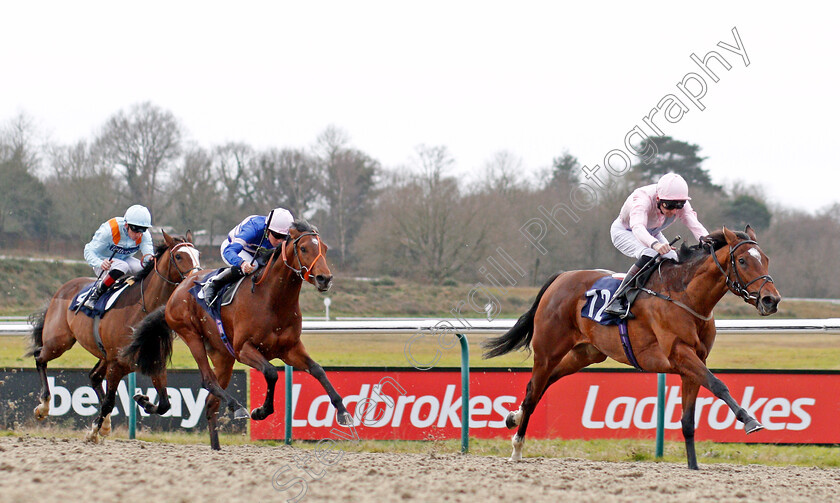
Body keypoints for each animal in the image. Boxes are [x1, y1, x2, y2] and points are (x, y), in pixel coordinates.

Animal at [26, 230, 200, 442]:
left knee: (94, 377)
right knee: (40, 357)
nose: (195, 278)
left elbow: (165, 404)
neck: (142, 310)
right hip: (59, 342)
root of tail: (63, 288)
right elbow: (109, 401)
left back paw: (107, 423)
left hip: (102, 355)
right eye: (179, 256)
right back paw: (43, 406)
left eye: (197, 254)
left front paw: (142, 399)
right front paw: (93, 431)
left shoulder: (153, 361)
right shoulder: (116, 364)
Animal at [123, 220, 352, 448]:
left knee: (210, 403)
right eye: (303, 248)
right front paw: (260, 411)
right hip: (191, 335)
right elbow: (271, 372)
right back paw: (237, 406)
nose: (325, 278)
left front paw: (343, 412)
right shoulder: (244, 349)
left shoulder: (290, 349)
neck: (273, 301)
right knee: (208, 381)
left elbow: (318, 370)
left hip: (223, 356)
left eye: (324, 248)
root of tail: (179, 288)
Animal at [482, 226, 784, 470]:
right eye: (742, 260)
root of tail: (561, 277)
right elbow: (719, 385)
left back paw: (514, 416)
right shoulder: (680, 354)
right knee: (535, 389)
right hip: (548, 350)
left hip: (585, 353)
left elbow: (688, 419)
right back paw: (517, 448)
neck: (685, 295)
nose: (771, 300)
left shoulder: (693, 363)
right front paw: (750, 420)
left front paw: (693, 465)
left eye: (766, 259)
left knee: (544, 384)